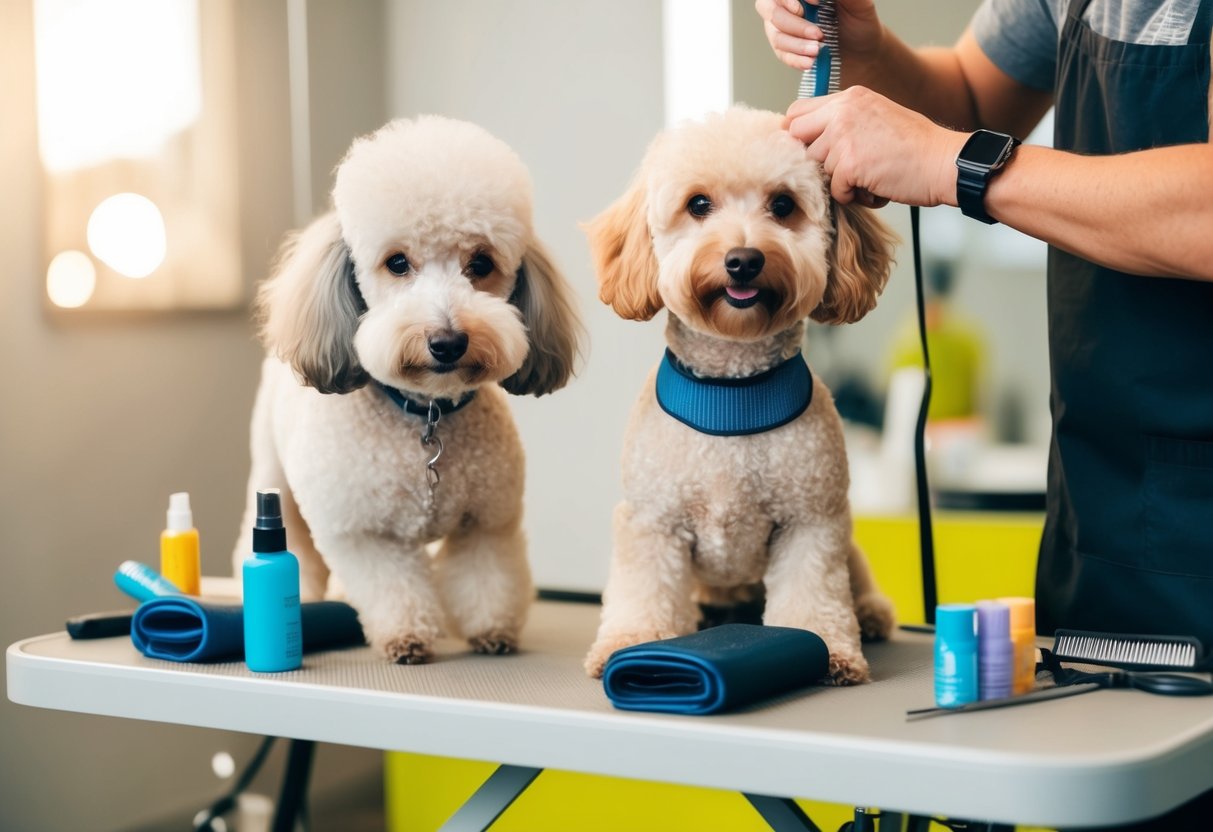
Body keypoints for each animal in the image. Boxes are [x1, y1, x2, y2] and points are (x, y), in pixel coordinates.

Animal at [235, 115, 582, 664]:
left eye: (481, 264)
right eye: (397, 263)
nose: (447, 341)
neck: (426, 415)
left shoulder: (487, 522)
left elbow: (487, 579)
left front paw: (493, 631)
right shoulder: (362, 534)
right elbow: (391, 587)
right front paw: (406, 635)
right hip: (272, 473)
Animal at [582, 109, 907, 684]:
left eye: (782, 205)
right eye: (698, 205)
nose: (743, 260)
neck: (732, 390)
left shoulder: (811, 521)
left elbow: (813, 592)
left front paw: (829, 649)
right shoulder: (652, 522)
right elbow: (643, 590)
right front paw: (629, 642)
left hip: (845, 538)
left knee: (856, 577)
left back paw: (869, 613)